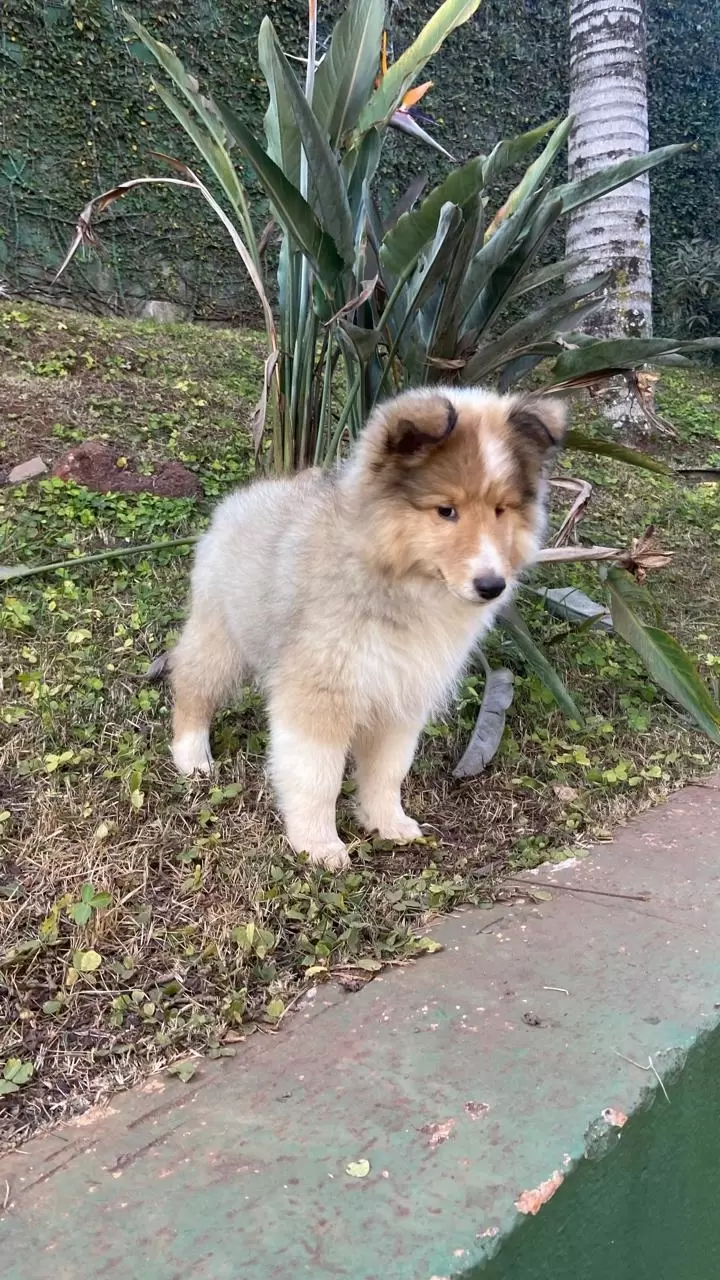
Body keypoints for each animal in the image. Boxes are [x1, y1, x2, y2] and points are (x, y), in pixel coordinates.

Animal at [165, 386, 563, 870]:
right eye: (446, 510)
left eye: (501, 510)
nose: (492, 585)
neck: (399, 585)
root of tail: (247, 495)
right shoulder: (322, 690)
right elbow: (317, 776)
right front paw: (318, 845)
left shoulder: (403, 693)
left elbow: (388, 770)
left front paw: (387, 823)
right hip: (222, 632)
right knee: (192, 682)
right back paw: (192, 757)